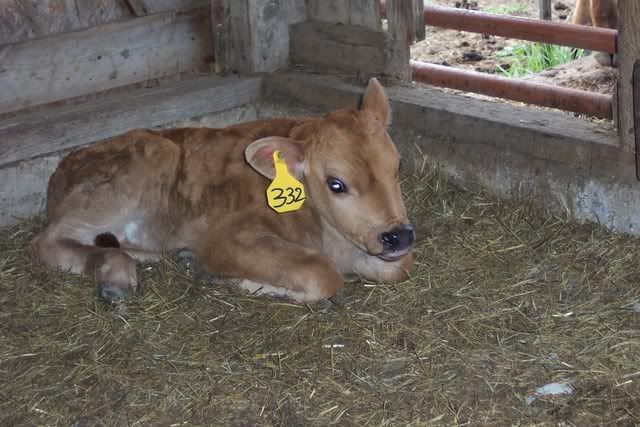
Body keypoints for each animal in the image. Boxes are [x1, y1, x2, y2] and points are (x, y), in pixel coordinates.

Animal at [30, 78, 415, 304]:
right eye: (336, 184)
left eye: (397, 166)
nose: (398, 235)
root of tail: (62, 168)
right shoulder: (227, 237)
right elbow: (322, 273)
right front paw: (236, 281)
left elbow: (400, 268)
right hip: (141, 164)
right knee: (47, 241)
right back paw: (118, 277)